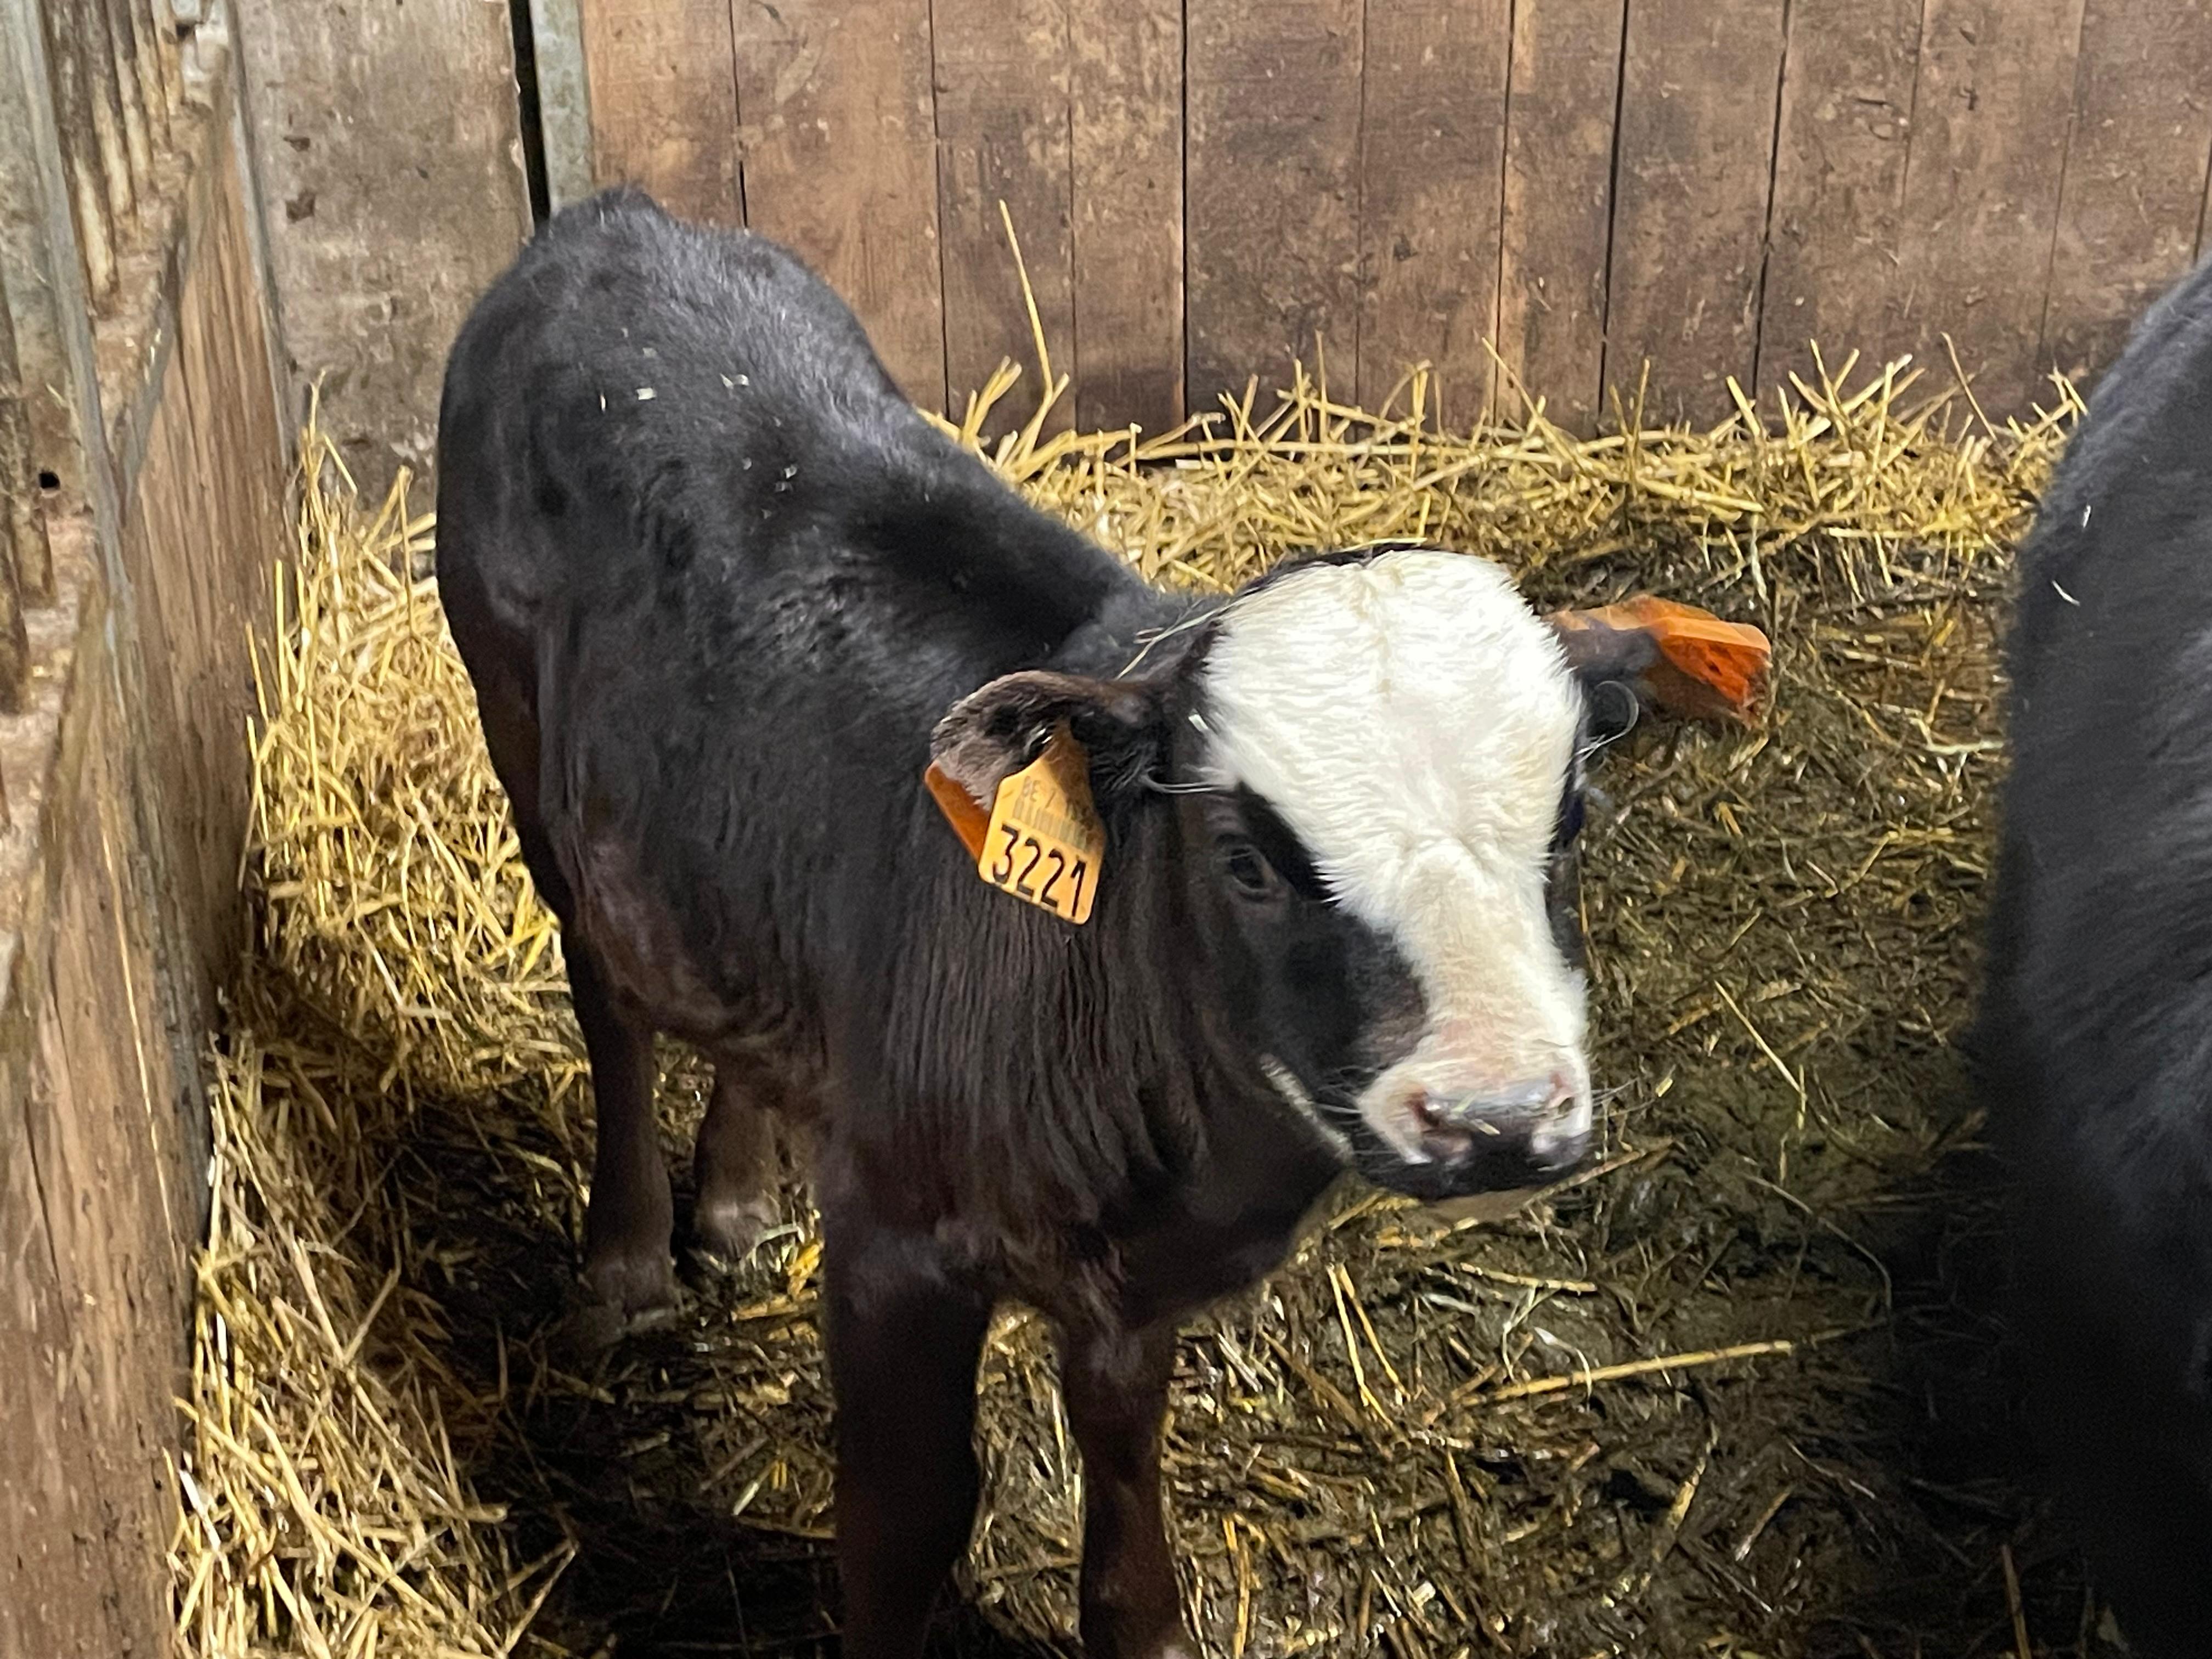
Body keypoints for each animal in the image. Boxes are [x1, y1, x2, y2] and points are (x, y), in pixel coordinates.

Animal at [435, 186, 1766, 1659]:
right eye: (1244, 862)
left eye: (1571, 818)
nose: (1500, 1117)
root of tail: (620, 219)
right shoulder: (894, 1240)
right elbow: (906, 1522)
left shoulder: (1134, 1288)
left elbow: (1125, 1468)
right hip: (517, 726)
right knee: (606, 991)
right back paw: (623, 1265)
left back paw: (729, 1206)